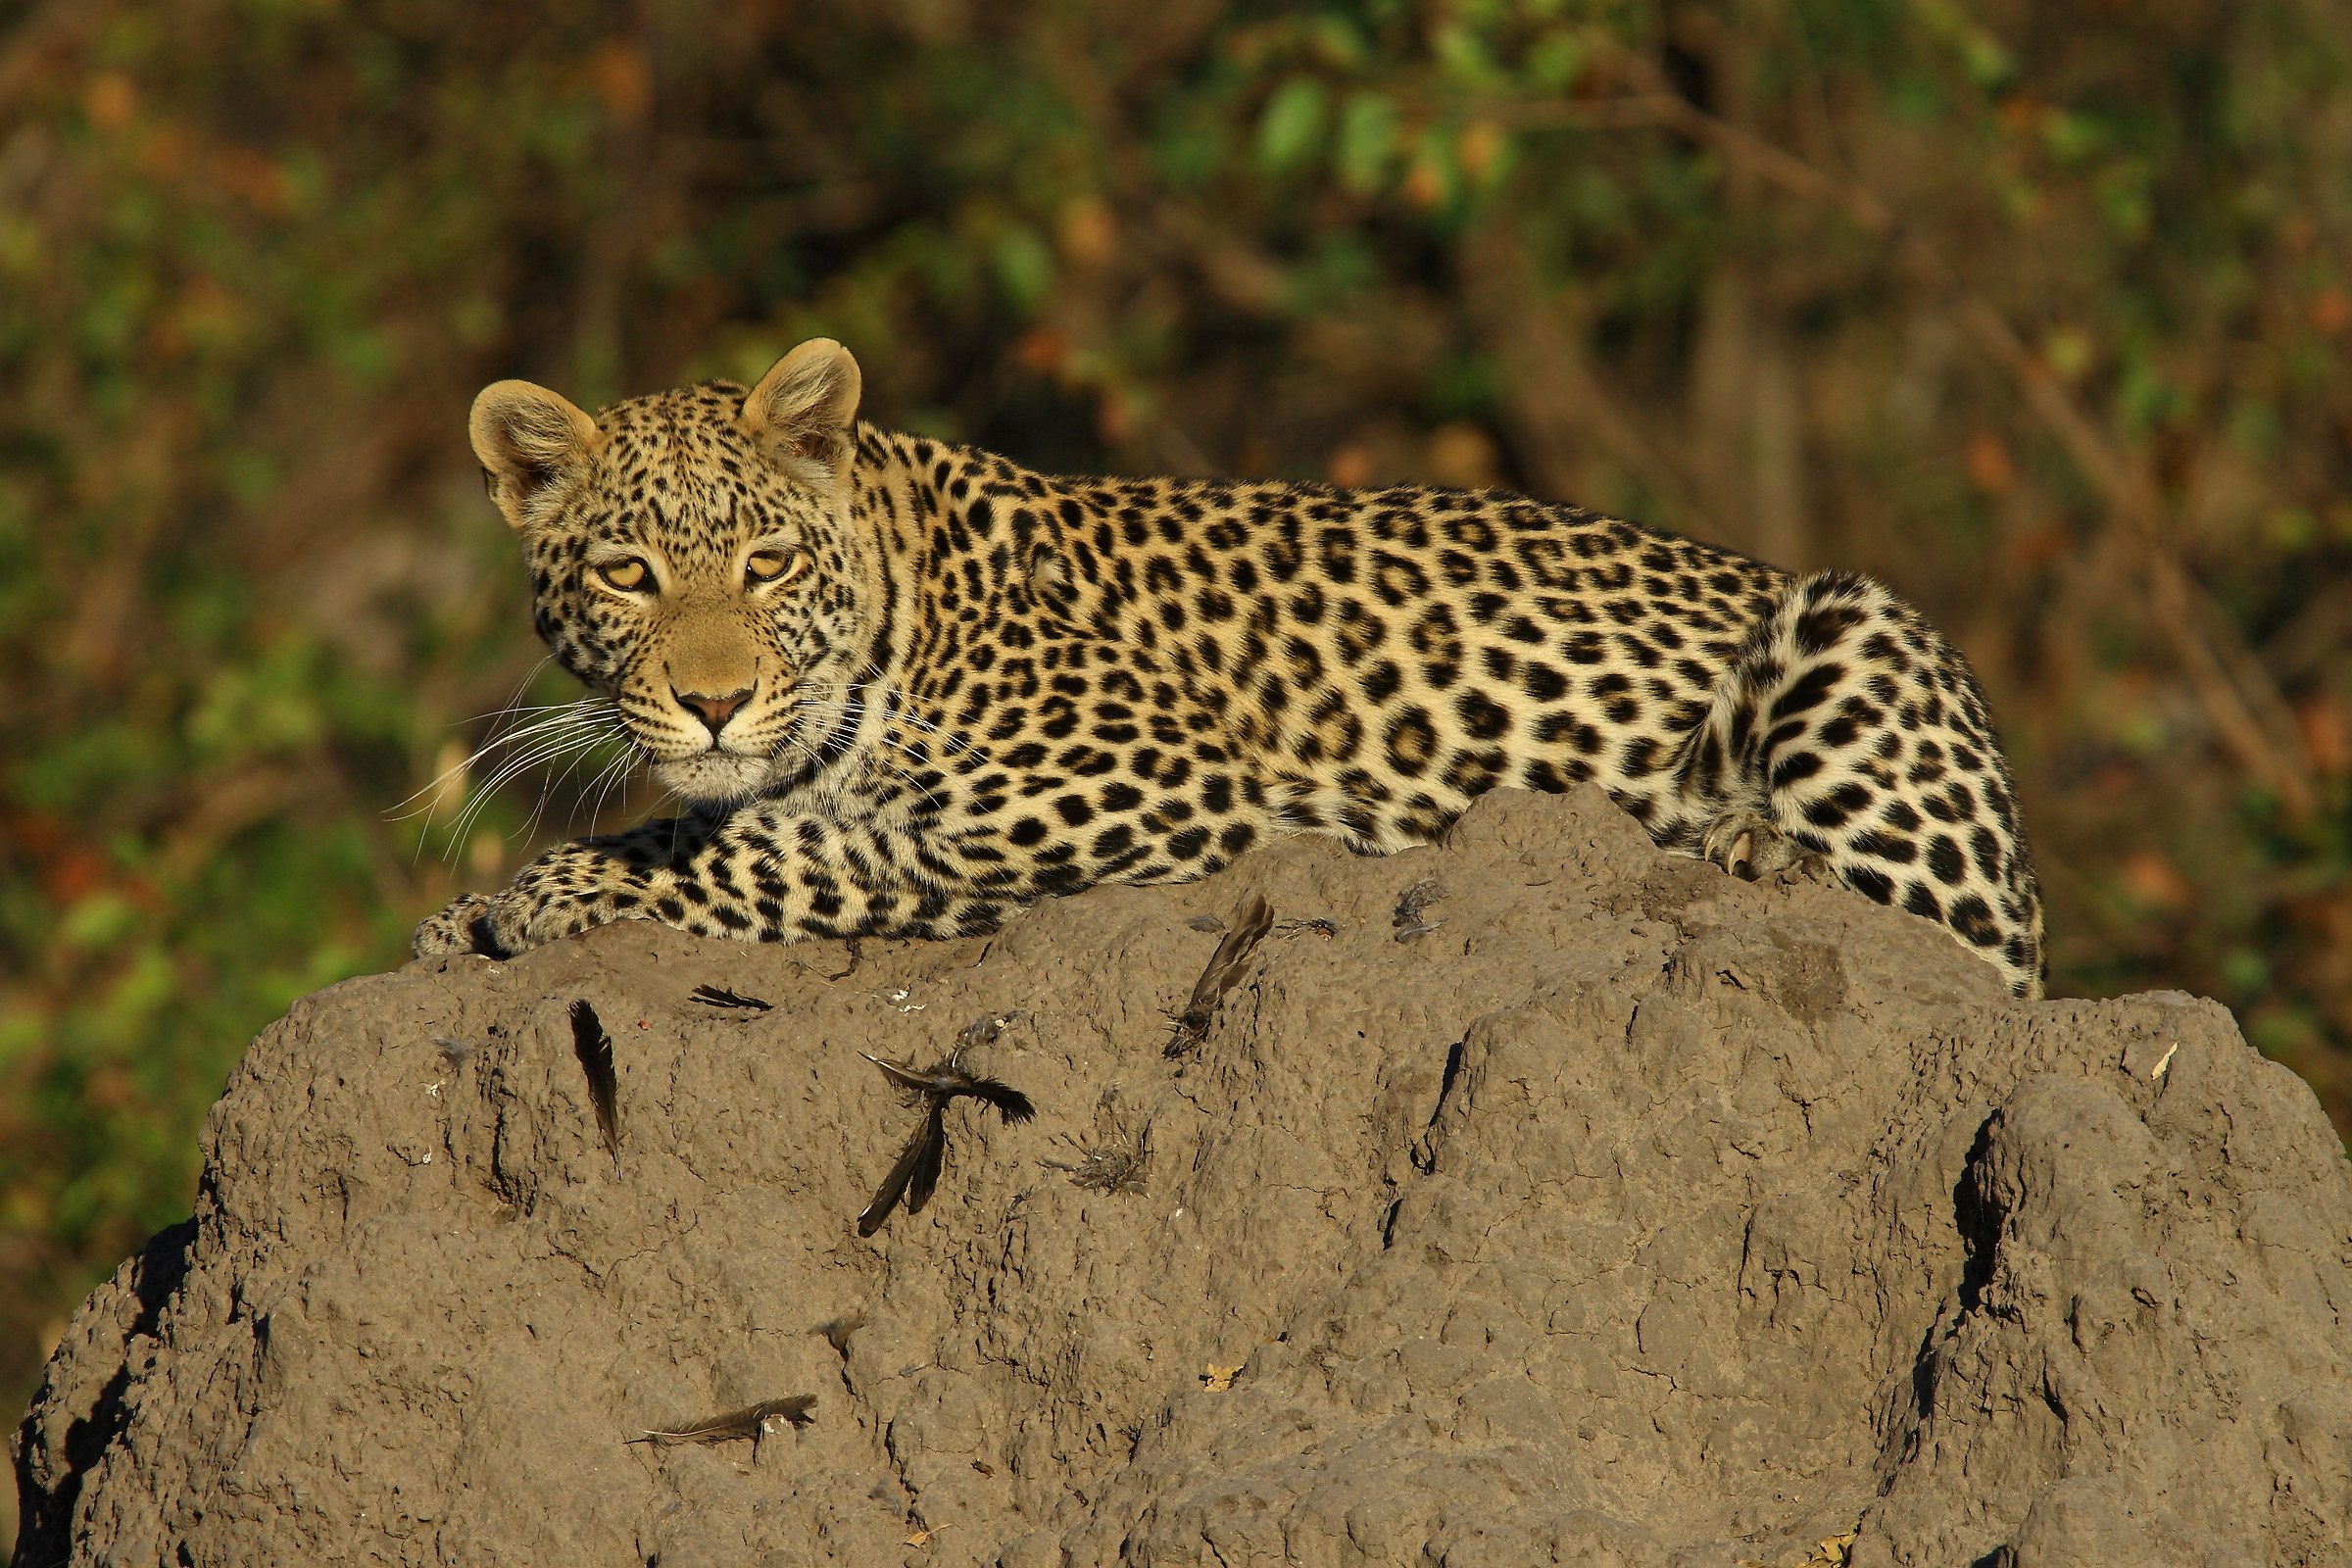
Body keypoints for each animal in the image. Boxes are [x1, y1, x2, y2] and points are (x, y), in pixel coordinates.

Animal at [413, 338, 2046, 998]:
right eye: (627, 573)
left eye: (763, 564)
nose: (712, 699)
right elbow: (718, 820)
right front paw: (469, 918)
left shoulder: (1139, 786)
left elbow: (793, 854)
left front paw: (549, 894)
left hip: (1856, 638)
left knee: (1953, 938)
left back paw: (1751, 848)